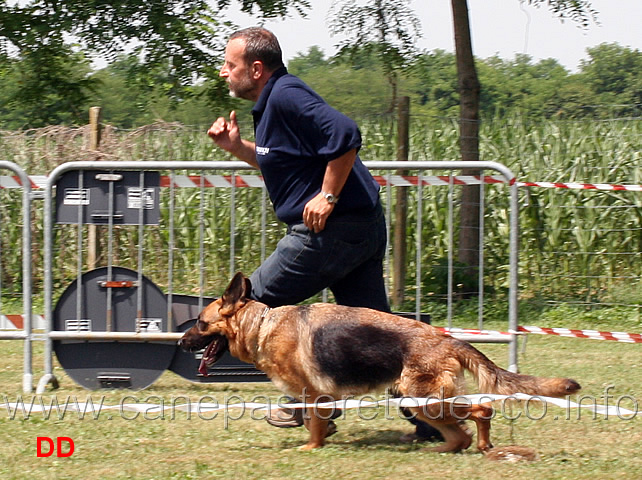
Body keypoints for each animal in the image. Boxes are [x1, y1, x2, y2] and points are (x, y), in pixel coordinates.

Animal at [178, 274, 576, 454]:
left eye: (201, 323)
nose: (181, 343)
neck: (262, 324)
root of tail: (446, 338)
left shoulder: (313, 395)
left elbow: (313, 425)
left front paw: (312, 448)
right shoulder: (319, 398)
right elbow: (315, 420)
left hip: (426, 400)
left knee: (481, 411)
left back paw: (477, 445)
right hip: (418, 401)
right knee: (460, 432)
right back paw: (443, 449)